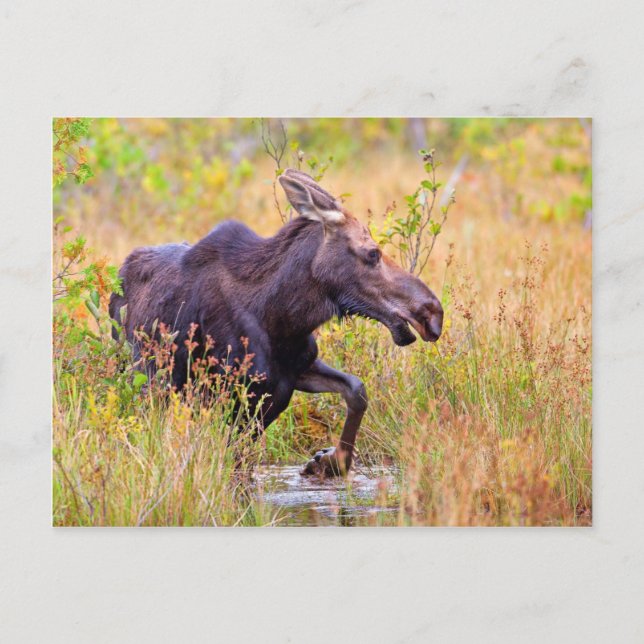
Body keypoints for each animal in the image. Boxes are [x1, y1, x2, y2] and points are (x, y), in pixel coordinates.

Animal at [109, 169, 443, 476]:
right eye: (373, 253)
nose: (432, 312)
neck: (282, 316)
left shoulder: (297, 370)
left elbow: (356, 390)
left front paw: (329, 462)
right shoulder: (239, 396)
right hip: (146, 376)